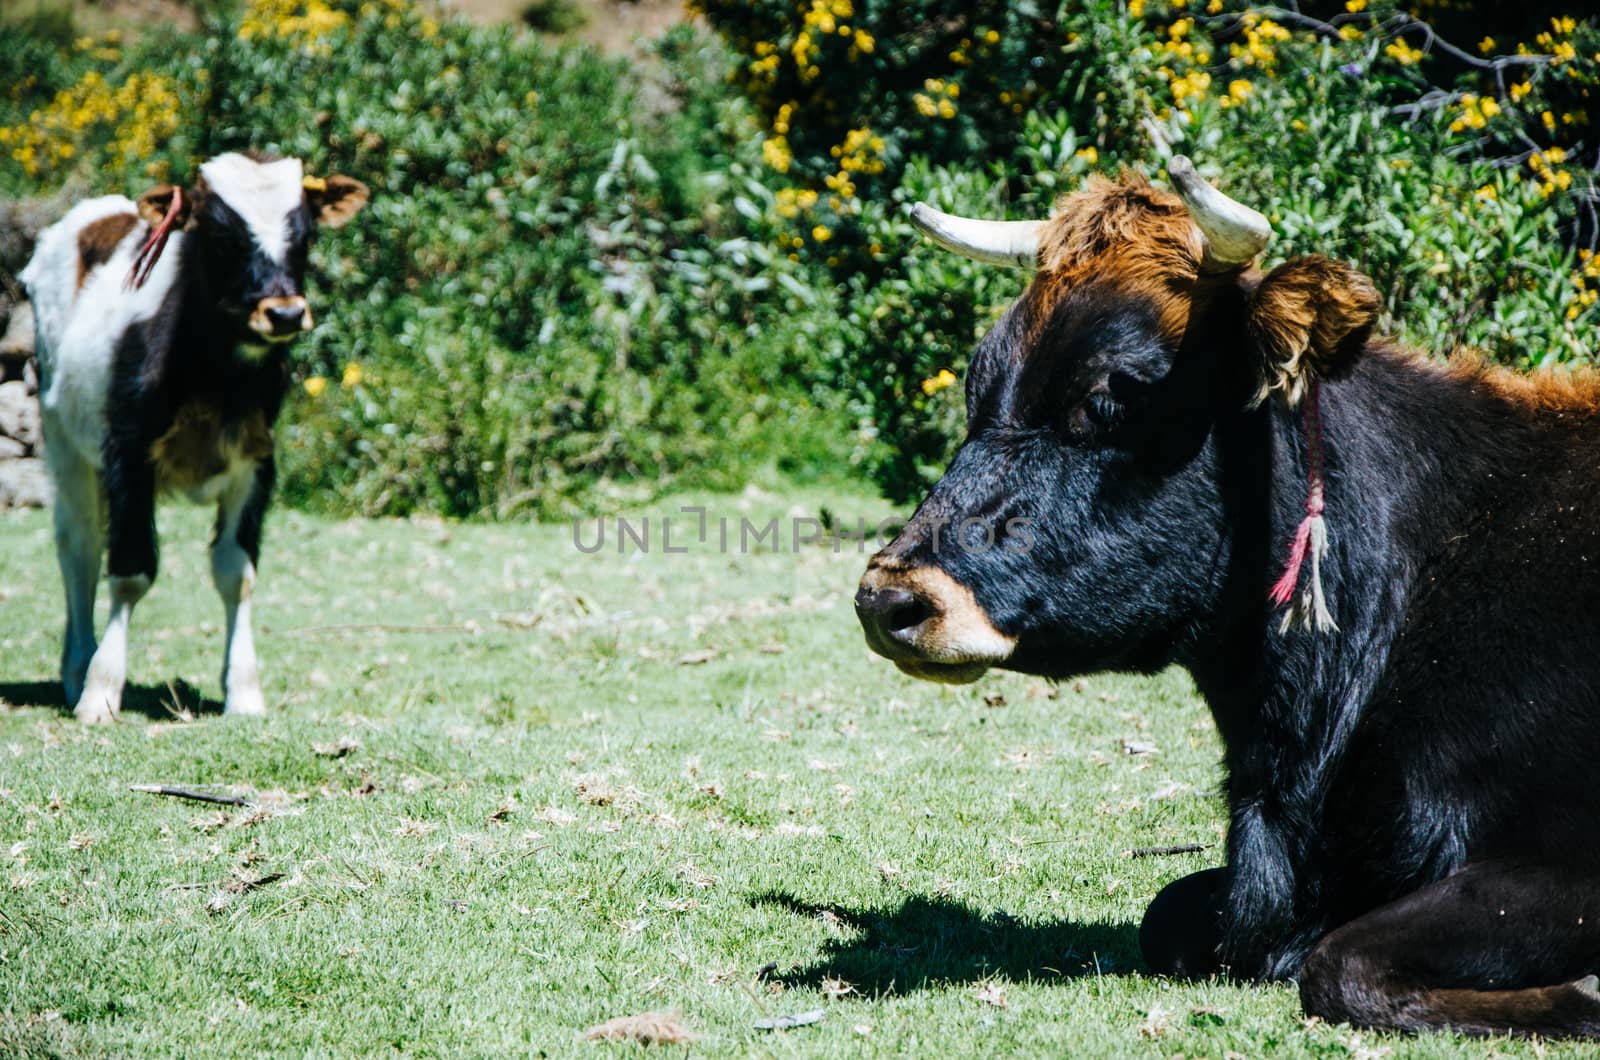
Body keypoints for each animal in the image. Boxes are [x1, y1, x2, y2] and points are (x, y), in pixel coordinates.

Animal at [21, 151, 366, 723]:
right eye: (220, 235)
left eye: (305, 234)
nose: (284, 312)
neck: (213, 376)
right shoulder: (128, 457)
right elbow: (129, 571)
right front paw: (101, 690)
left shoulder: (255, 464)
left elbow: (235, 572)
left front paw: (243, 691)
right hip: (63, 440)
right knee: (80, 548)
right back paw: (78, 667)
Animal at [857, 176, 1600, 1037]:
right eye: (980, 388)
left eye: (1109, 397)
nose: (888, 597)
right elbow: (1171, 915)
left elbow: (1342, 965)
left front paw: (1584, 993)